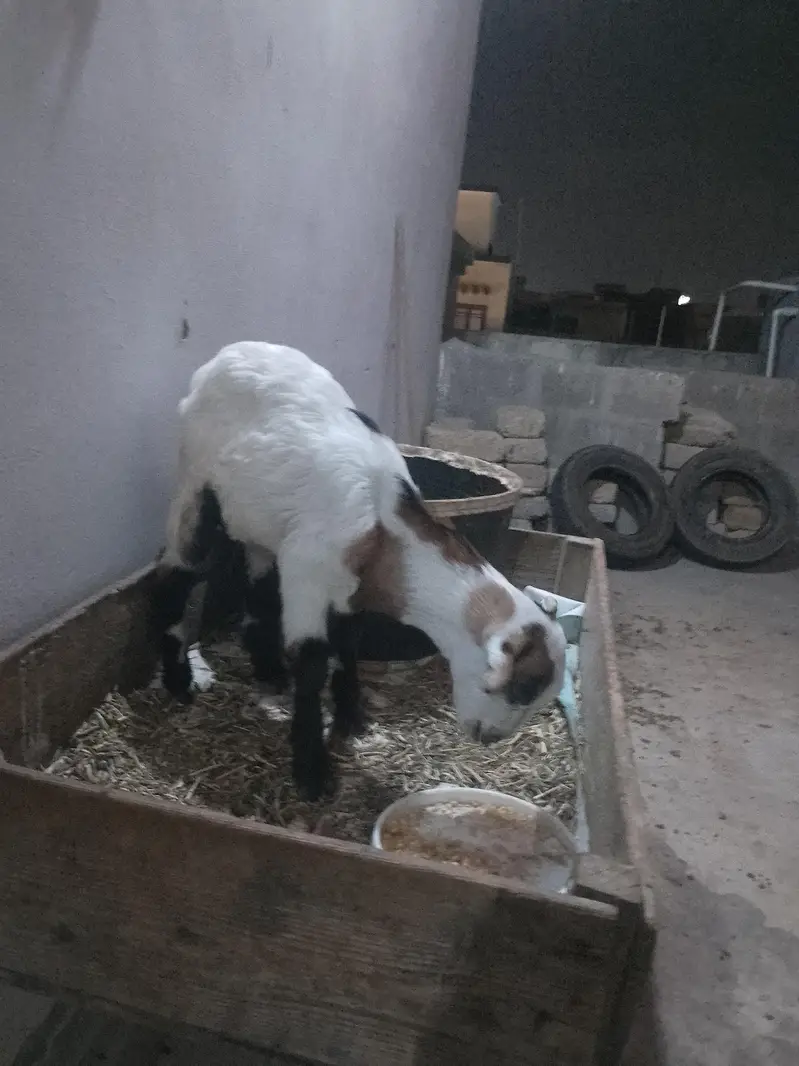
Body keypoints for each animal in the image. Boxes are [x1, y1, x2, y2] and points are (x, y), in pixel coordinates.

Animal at [151, 341, 567, 799]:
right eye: (522, 687)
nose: (491, 737)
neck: (385, 531)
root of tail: (227, 354)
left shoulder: (346, 587)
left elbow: (348, 642)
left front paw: (351, 718)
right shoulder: (309, 575)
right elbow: (313, 661)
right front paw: (312, 771)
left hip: (260, 522)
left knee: (256, 585)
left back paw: (269, 672)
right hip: (195, 488)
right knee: (174, 573)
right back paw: (178, 681)